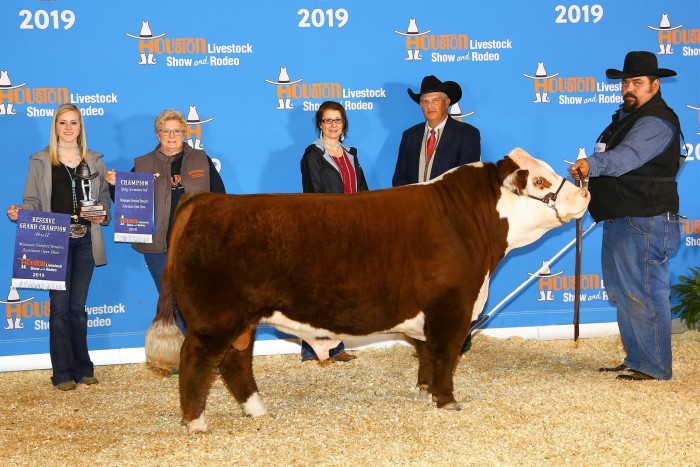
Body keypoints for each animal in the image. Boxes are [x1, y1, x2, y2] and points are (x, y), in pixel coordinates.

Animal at [146, 148, 592, 434]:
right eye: (540, 180)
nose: (584, 191)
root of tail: (207, 201)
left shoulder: (429, 312)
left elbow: (425, 353)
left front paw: (425, 390)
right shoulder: (452, 305)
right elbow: (445, 353)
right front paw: (447, 401)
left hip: (243, 320)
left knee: (236, 362)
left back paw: (257, 411)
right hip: (215, 317)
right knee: (197, 359)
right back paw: (196, 423)